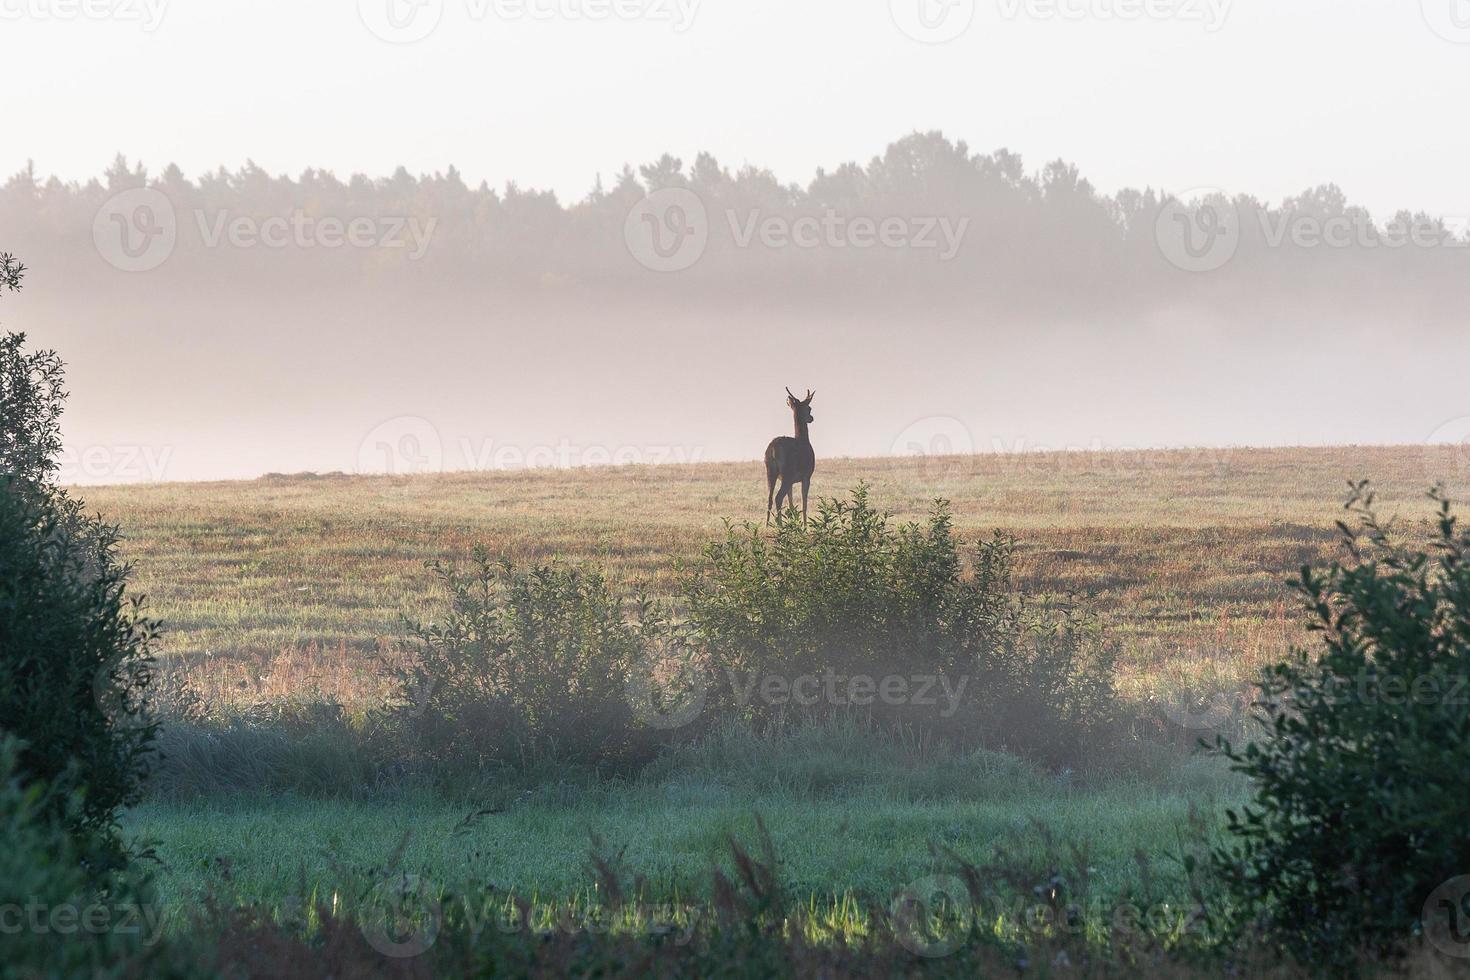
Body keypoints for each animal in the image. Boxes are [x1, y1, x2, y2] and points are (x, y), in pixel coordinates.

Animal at [770, 387, 817, 525]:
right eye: (809, 408)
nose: (811, 418)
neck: (804, 440)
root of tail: (773, 449)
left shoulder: (791, 481)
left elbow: (791, 503)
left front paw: (794, 523)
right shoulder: (806, 476)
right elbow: (804, 503)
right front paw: (805, 526)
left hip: (773, 473)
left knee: (770, 498)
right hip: (787, 474)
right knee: (778, 497)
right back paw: (780, 525)